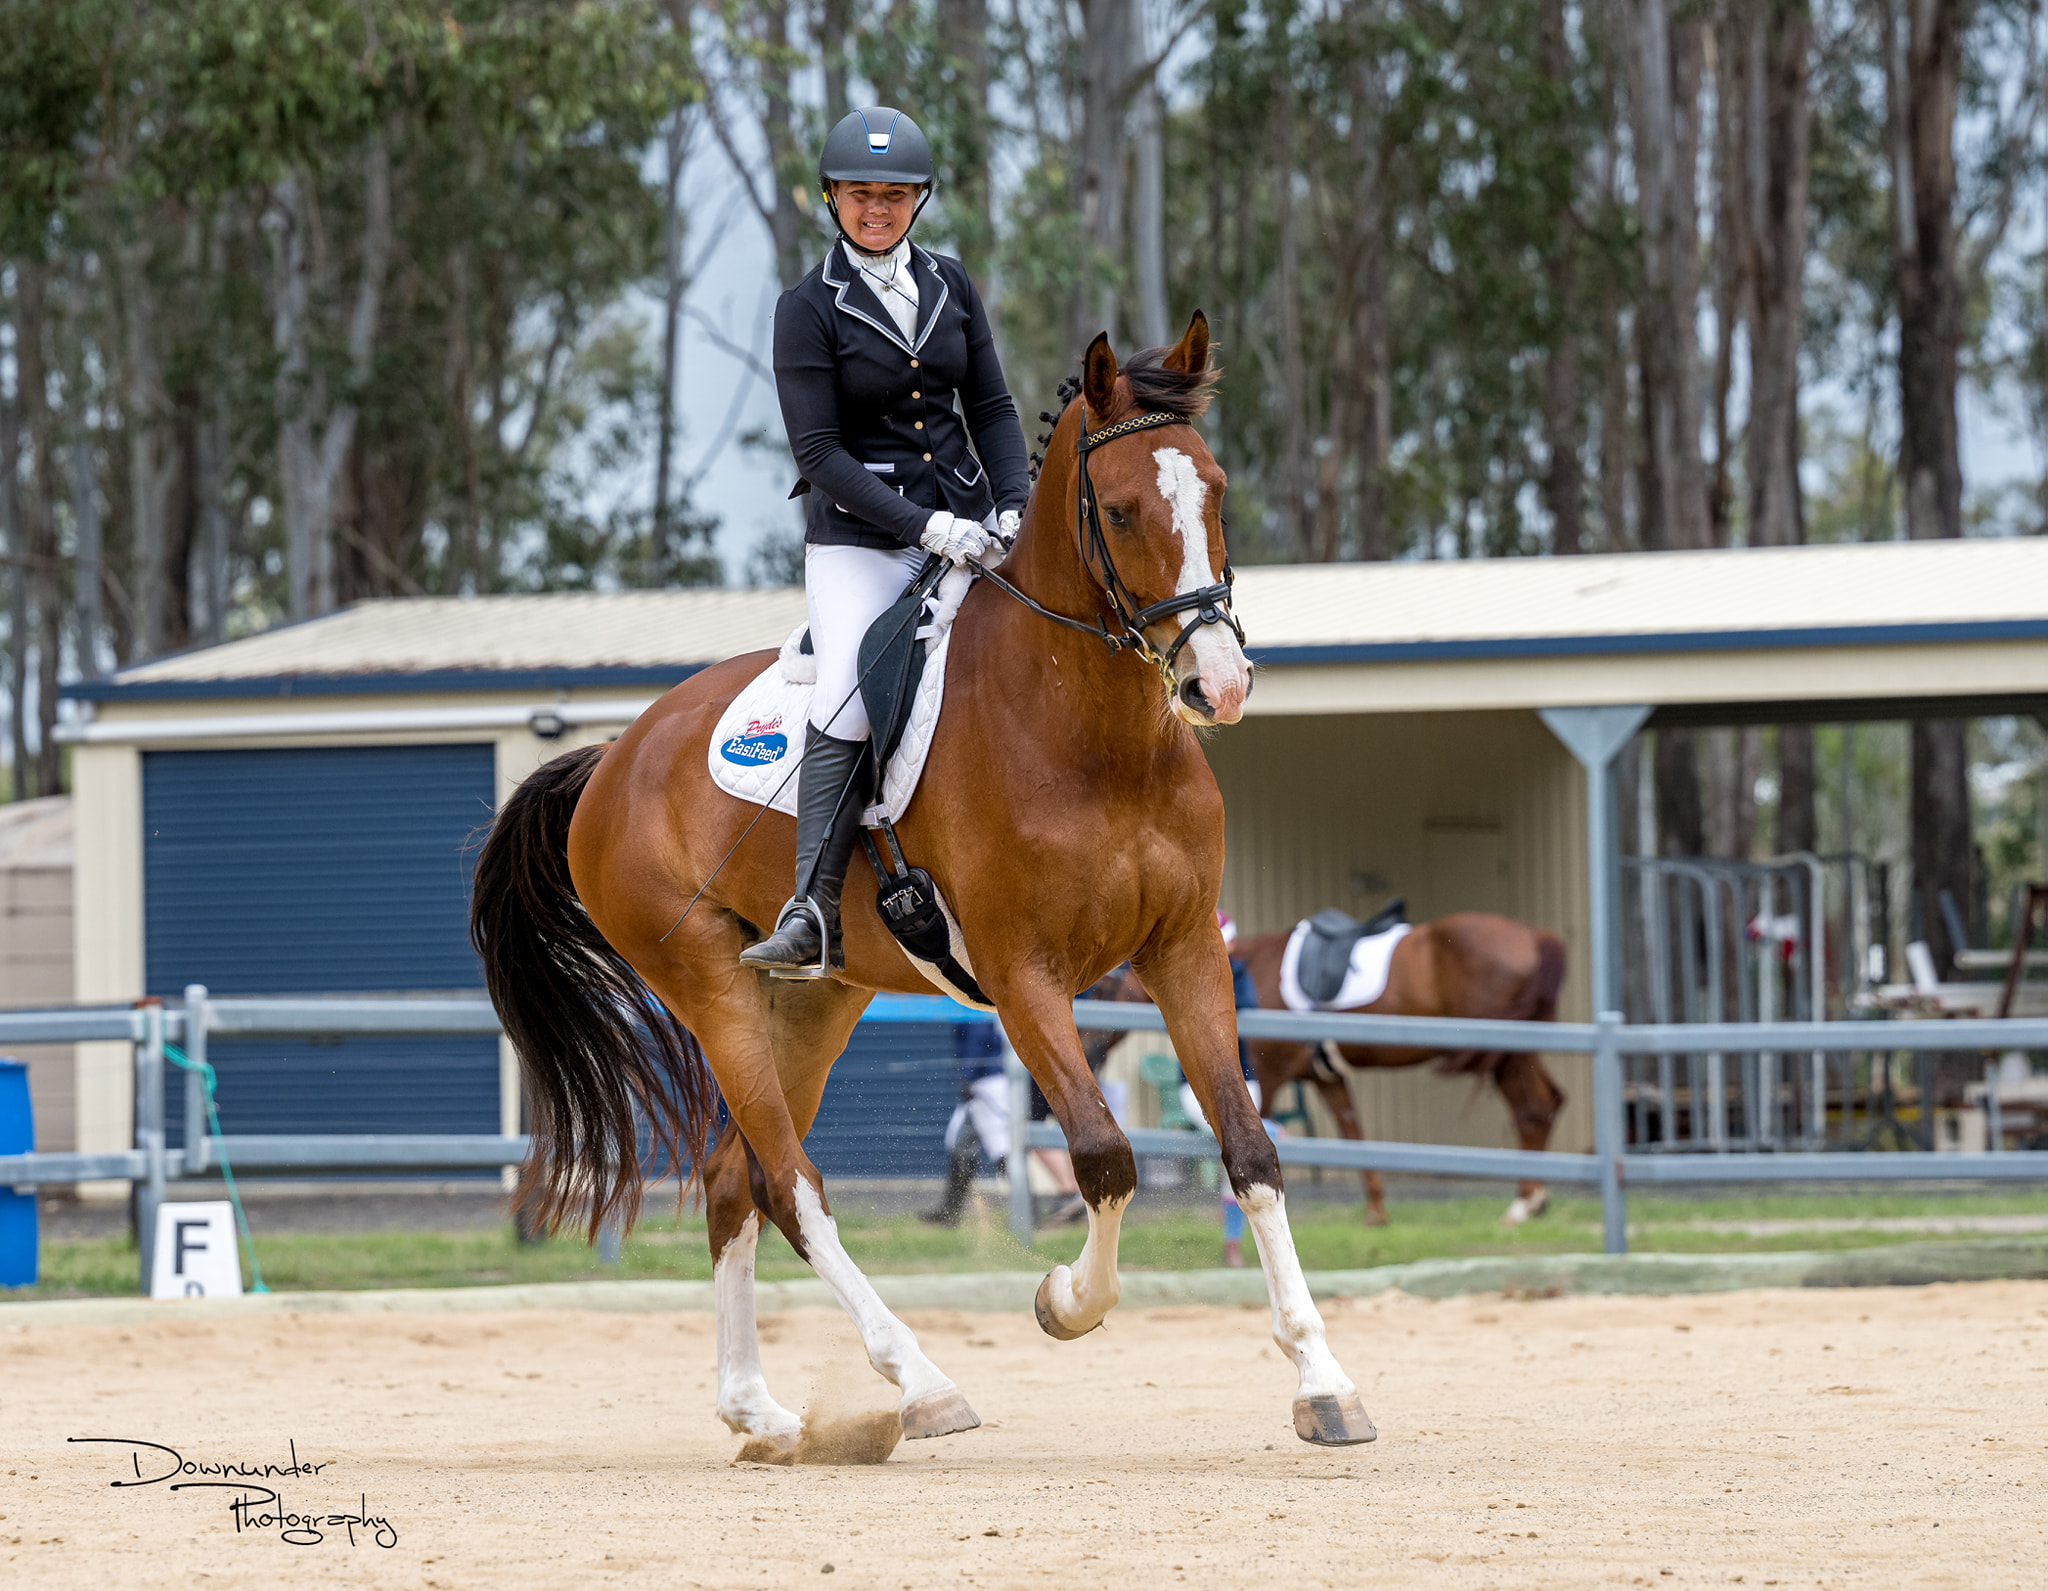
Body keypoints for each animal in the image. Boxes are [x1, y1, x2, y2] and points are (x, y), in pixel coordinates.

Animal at [471, 313, 1384, 1449]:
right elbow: (1102, 1155)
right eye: (1122, 510)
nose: (1214, 683)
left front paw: (1323, 1382)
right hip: (709, 983)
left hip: (813, 997)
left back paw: (758, 1411)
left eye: (1214, 494)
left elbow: (1252, 1150)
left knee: (735, 1178)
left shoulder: (1181, 953)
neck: (1098, 741)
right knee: (791, 1182)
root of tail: (613, 756)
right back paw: (918, 1381)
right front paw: (1063, 1301)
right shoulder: (1023, 973)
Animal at [1105, 913, 1564, 1220]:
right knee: (1549, 1103)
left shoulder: (1266, 1075)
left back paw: (1523, 1202)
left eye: (1106, 984)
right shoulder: (1326, 1077)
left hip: (1508, 1055)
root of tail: (1536, 936)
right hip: (1521, 1053)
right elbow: (1352, 1133)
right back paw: (1534, 1198)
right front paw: (1376, 1209)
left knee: (1533, 1109)